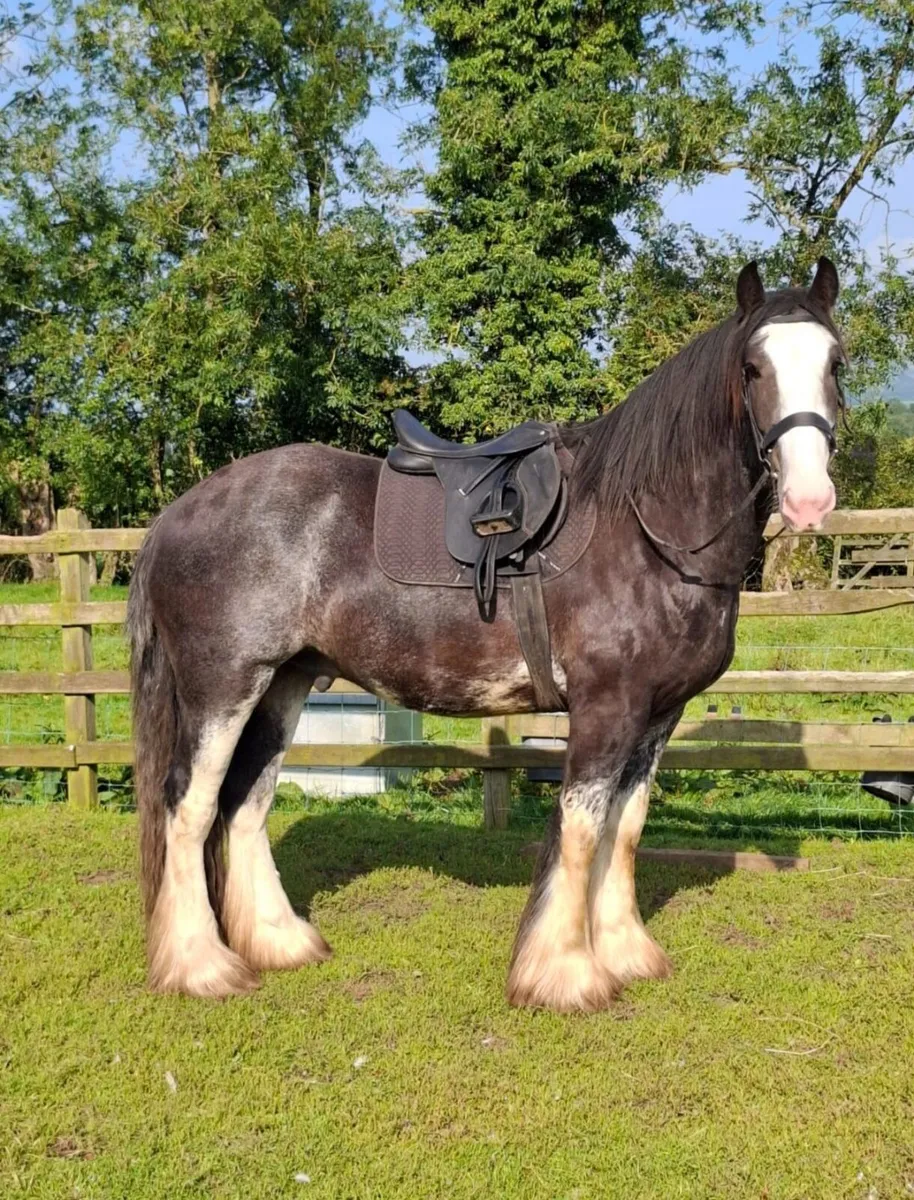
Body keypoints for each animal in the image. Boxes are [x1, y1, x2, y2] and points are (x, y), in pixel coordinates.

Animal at [128, 257, 845, 1012]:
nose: (809, 499)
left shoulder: (658, 716)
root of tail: (178, 512)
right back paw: (199, 965)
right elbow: (582, 831)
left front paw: (626, 952)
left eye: (836, 363)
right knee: (187, 808)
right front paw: (566, 972)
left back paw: (278, 942)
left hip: (281, 686)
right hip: (221, 689)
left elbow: (625, 829)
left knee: (245, 803)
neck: (645, 529)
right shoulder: (606, 708)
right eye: (753, 368)